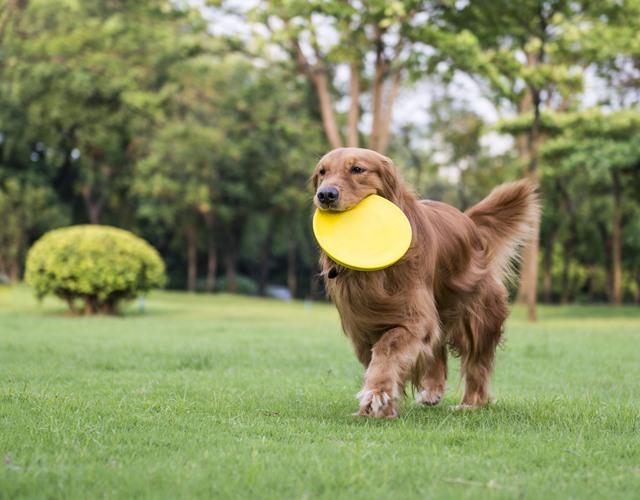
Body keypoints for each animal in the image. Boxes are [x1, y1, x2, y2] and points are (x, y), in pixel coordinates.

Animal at [312, 147, 536, 418]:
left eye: (357, 169)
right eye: (322, 172)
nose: (325, 194)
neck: (374, 274)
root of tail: (469, 221)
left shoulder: (415, 316)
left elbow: (388, 348)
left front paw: (377, 393)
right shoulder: (362, 327)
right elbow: (382, 357)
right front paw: (383, 405)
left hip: (477, 314)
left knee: (476, 362)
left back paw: (471, 402)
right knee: (438, 347)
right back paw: (432, 390)